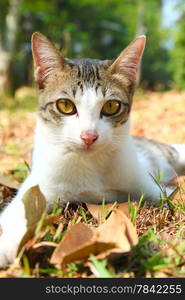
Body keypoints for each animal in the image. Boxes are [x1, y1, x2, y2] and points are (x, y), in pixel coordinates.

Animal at [0, 32, 185, 268]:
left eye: (111, 106)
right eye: (65, 105)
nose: (89, 136)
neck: (90, 164)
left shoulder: (150, 187)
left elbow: (168, 195)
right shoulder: (42, 183)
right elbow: (21, 208)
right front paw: (5, 242)